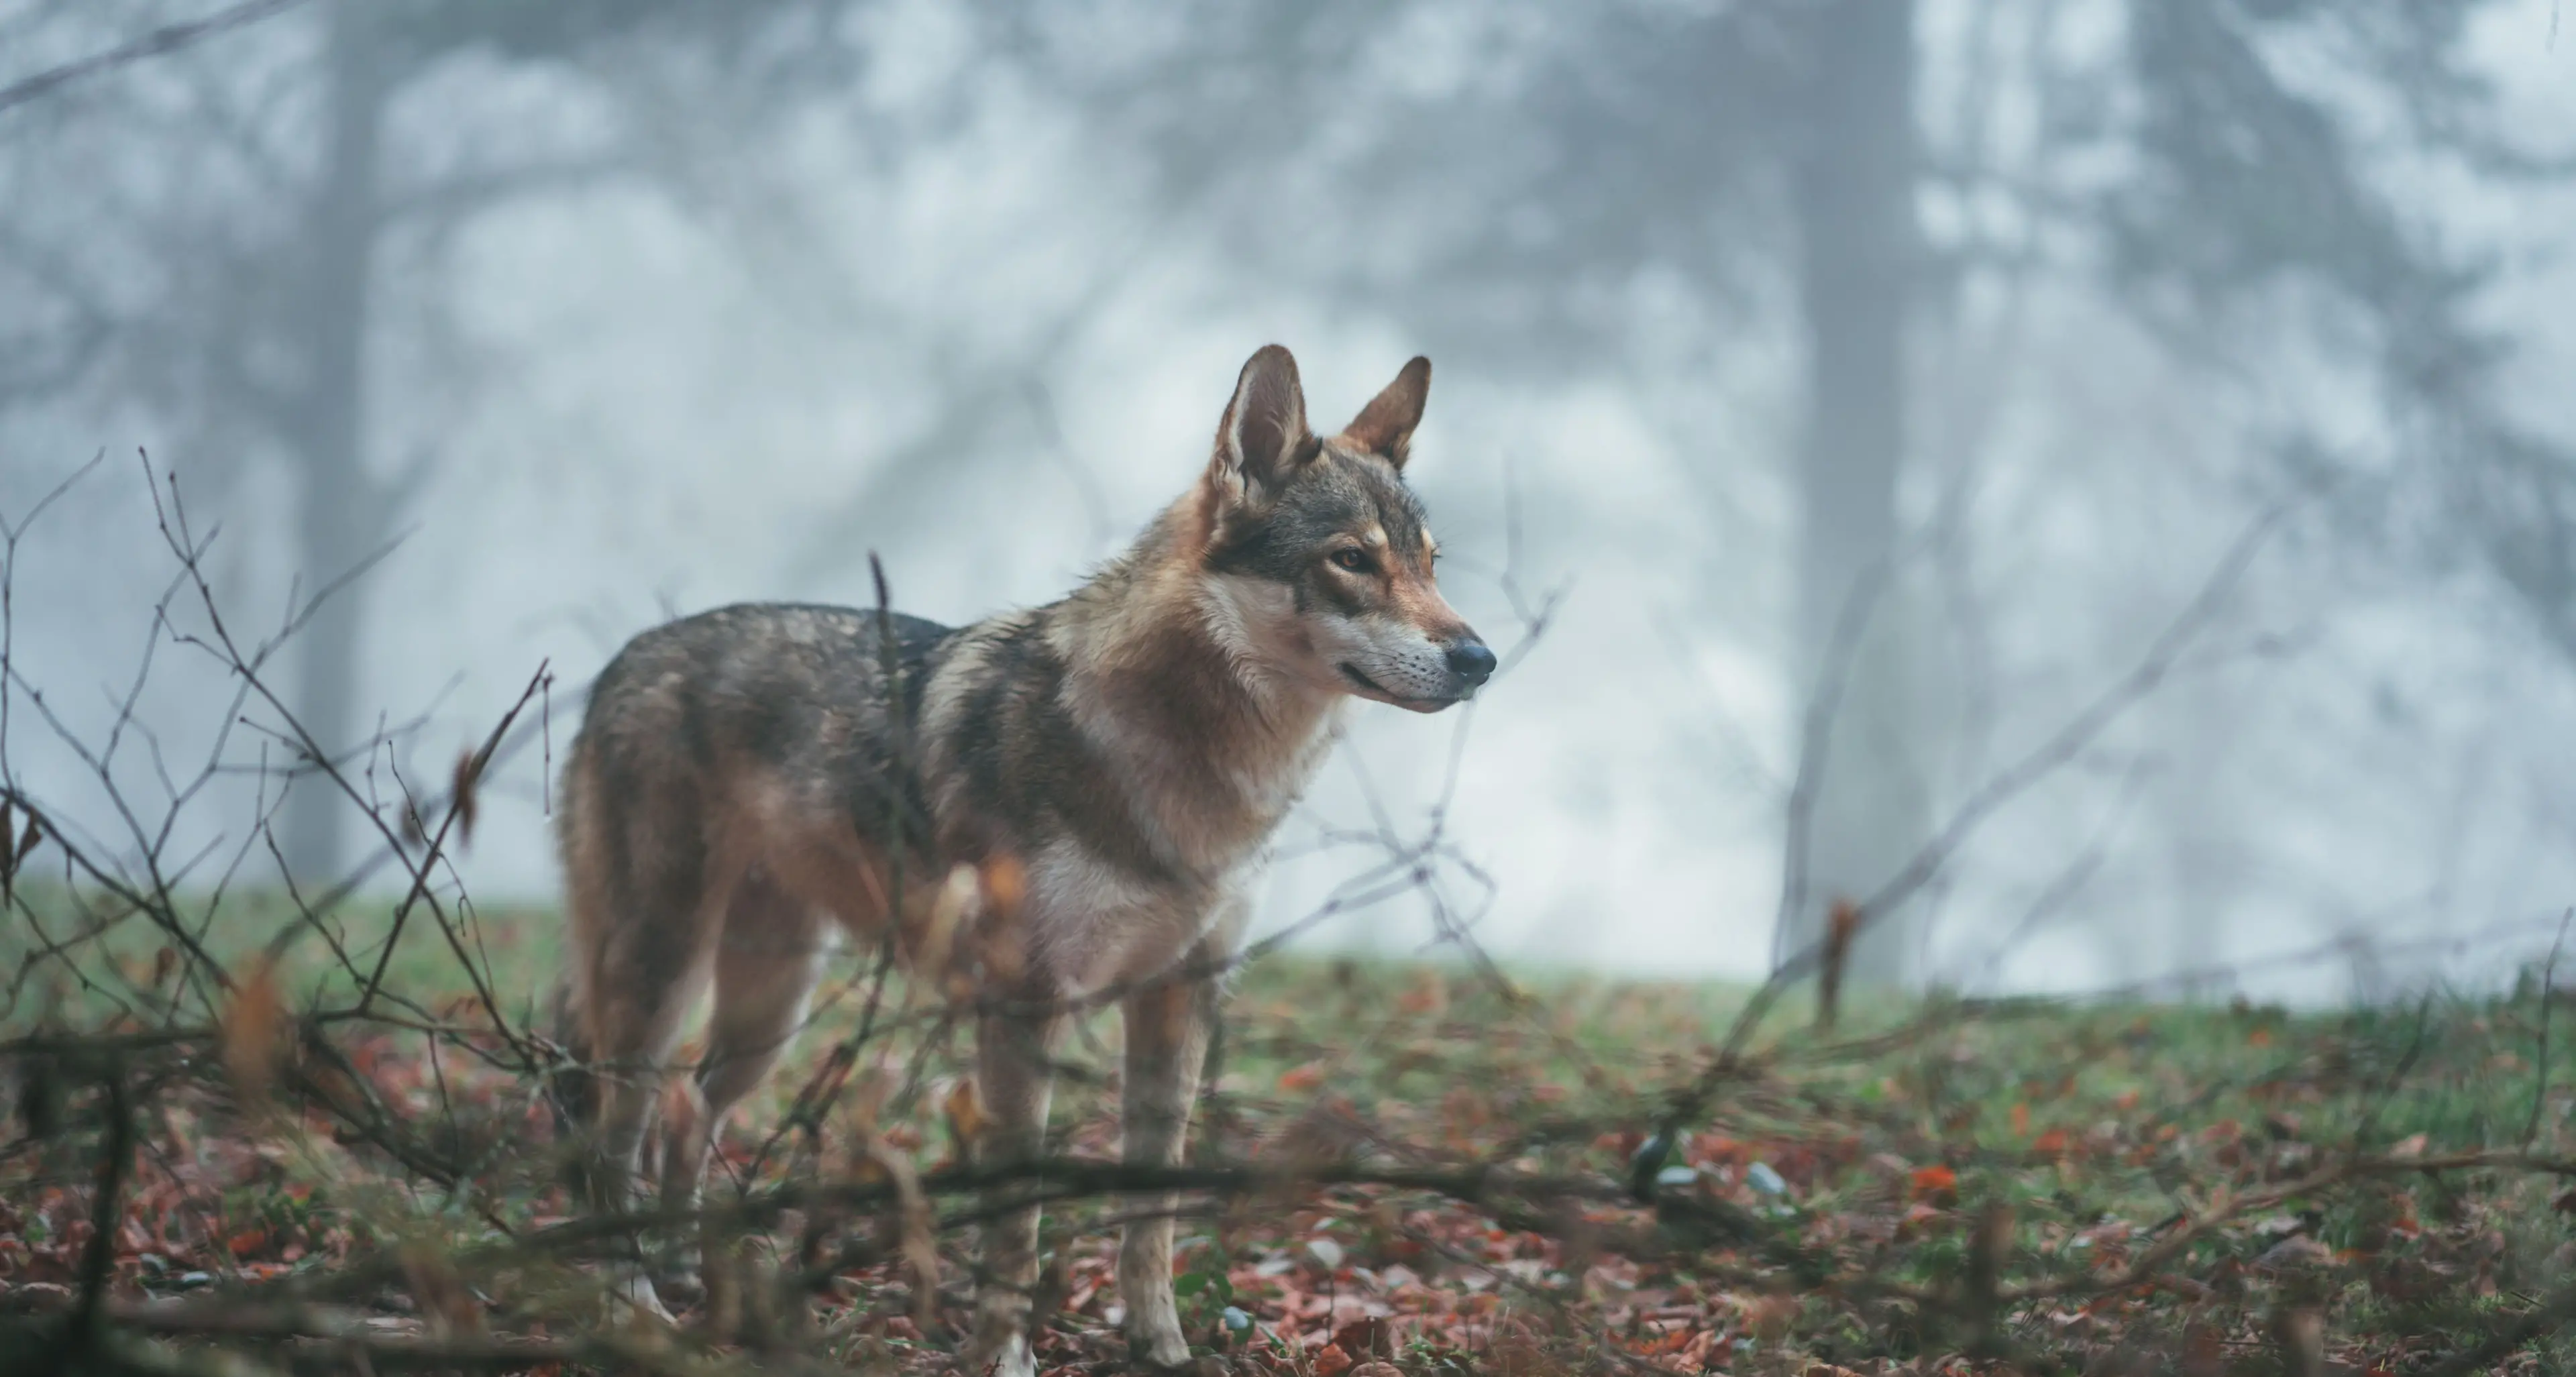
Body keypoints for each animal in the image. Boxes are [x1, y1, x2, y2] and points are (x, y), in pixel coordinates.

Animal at [548, 344, 1493, 1374]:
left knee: (684, 1112)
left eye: (1431, 564)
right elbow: (1017, 1227)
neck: (1186, 766)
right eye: (1352, 560)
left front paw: (1162, 1349)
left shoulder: (1178, 1002)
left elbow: (1152, 1214)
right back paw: (631, 1302)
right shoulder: (1021, 1010)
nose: (1480, 658)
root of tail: (625, 657)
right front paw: (1004, 1354)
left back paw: (685, 1276)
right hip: (663, 981)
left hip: (771, 1011)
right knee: (612, 1140)